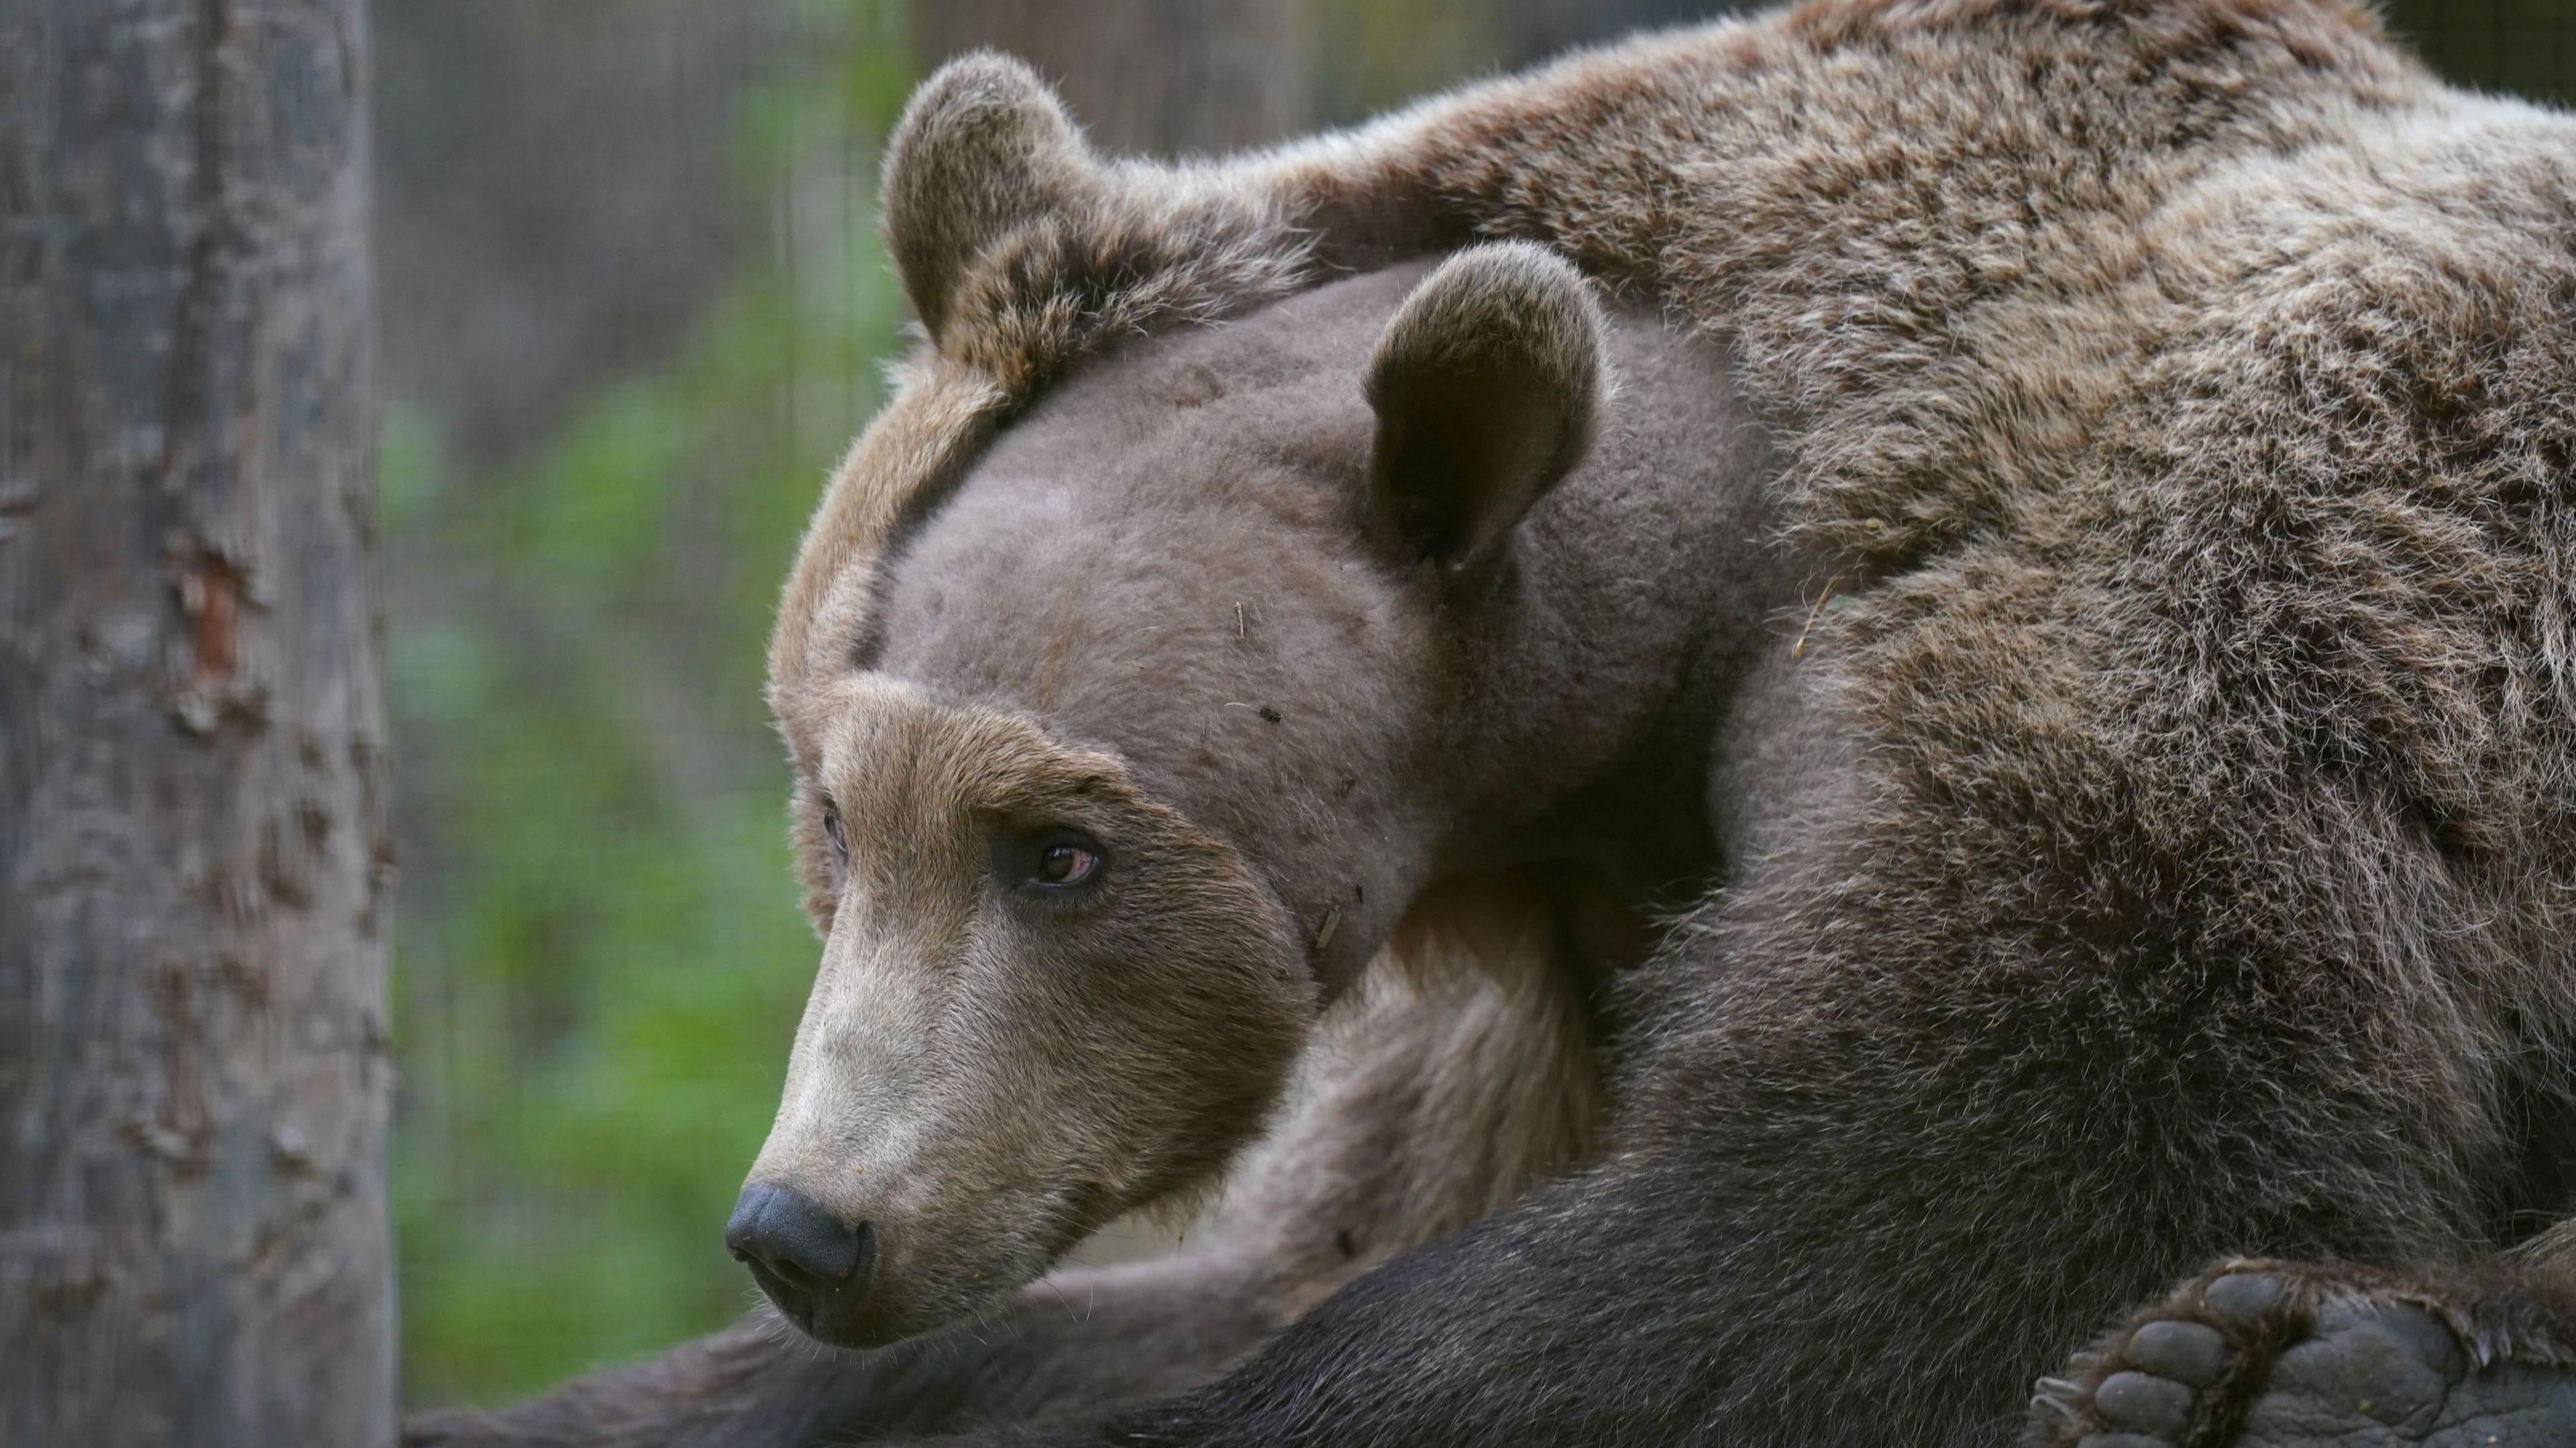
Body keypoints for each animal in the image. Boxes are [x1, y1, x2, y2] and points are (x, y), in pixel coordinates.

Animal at [407, 3, 2576, 1443]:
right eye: (838, 809)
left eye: (1059, 849)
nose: (809, 1224)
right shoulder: (1532, 970)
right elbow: (1239, 1269)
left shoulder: (2170, 672)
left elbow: (1888, 1208)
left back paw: (2294, 1362)